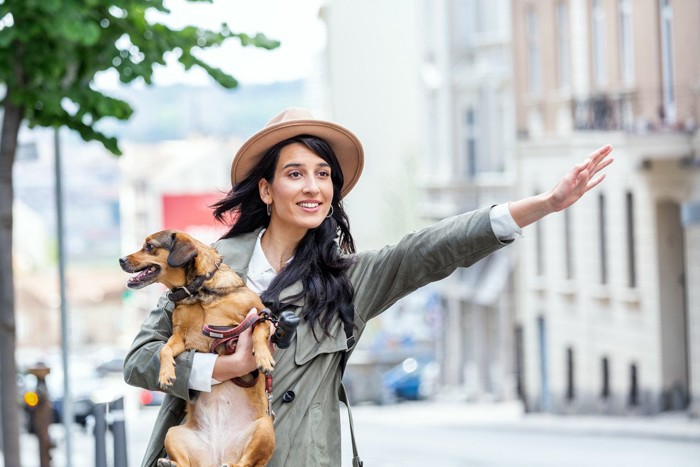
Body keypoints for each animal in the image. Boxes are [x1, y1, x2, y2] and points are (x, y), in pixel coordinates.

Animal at [119, 231, 274, 467]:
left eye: (150, 246)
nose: (121, 260)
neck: (198, 292)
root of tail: (218, 456)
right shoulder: (180, 336)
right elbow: (164, 350)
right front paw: (166, 374)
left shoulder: (260, 314)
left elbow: (259, 329)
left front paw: (263, 358)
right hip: (173, 433)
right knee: (186, 463)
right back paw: (169, 463)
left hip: (265, 427)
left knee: (246, 463)